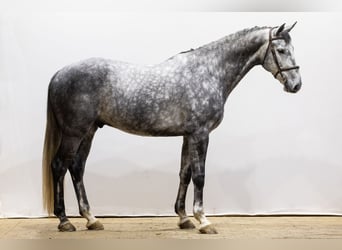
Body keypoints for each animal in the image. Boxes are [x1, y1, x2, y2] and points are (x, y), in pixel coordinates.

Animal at [42, 22, 302, 233]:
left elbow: (184, 174)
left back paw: (91, 219)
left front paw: (184, 218)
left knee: (77, 168)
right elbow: (199, 176)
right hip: (74, 133)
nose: (296, 85)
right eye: (281, 50)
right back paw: (65, 221)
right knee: (59, 166)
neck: (209, 72)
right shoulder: (201, 134)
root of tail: (58, 74)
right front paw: (203, 221)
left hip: (89, 131)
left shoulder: (188, 136)